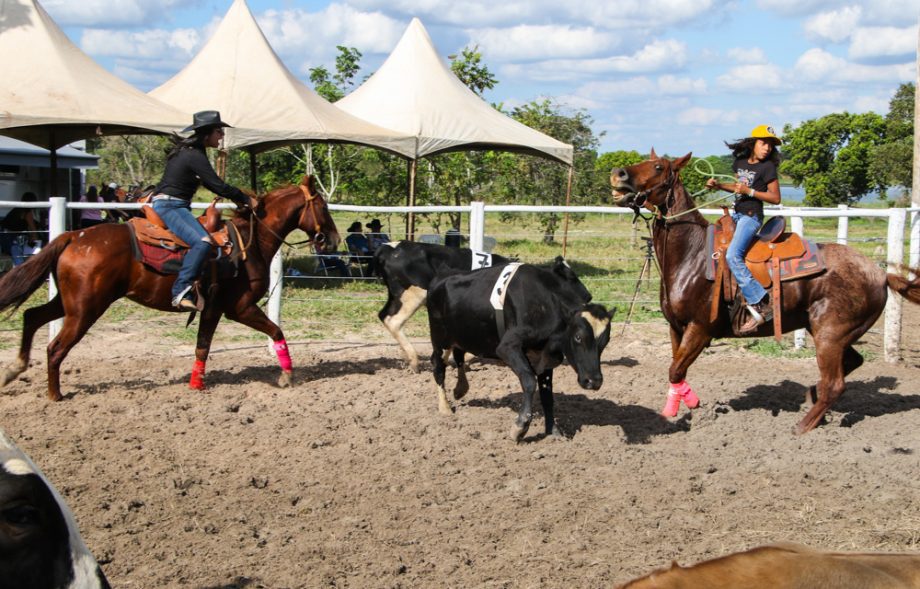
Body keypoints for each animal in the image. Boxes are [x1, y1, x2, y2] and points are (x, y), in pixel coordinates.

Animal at [0, 175, 340, 400]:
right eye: (323, 206)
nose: (333, 239)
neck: (250, 241)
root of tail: (73, 236)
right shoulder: (237, 307)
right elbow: (274, 331)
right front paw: (287, 375)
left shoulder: (215, 308)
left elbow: (204, 344)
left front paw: (196, 383)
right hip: (85, 310)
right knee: (55, 348)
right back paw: (55, 395)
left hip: (69, 303)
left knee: (31, 316)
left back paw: (15, 369)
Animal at [376, 240, 516, 370]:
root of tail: (389, 248)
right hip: (414, 294)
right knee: (394, 321)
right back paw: (415, 362)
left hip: (397, 297)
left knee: (384, 315)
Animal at [426, 258, 616, 440]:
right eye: (578, 337)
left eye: (606, 341)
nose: (594, 381)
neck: (547, 303)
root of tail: (442, 275)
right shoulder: (507, 347)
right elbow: (529, 381)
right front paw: (520, 427)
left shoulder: (545, 357)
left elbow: (547, 396)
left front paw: (552, 431)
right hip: (439, 338)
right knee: (438, 366)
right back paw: (445, 407)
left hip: (459, 336)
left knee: (459, 354)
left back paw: (460, 389)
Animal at [612, 152, 920, 432]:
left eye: (658, 167)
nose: (617, 173)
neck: (693, 254)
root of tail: (880, 273)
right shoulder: (676, 327)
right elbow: (677, 370)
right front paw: (674, 410)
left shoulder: (700, 328)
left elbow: (675, 369)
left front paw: (693, 404)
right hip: (832, 332)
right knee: (852, 362)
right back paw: (812, 396)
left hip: (830, 335)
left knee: (835, 383)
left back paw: (802, 426)